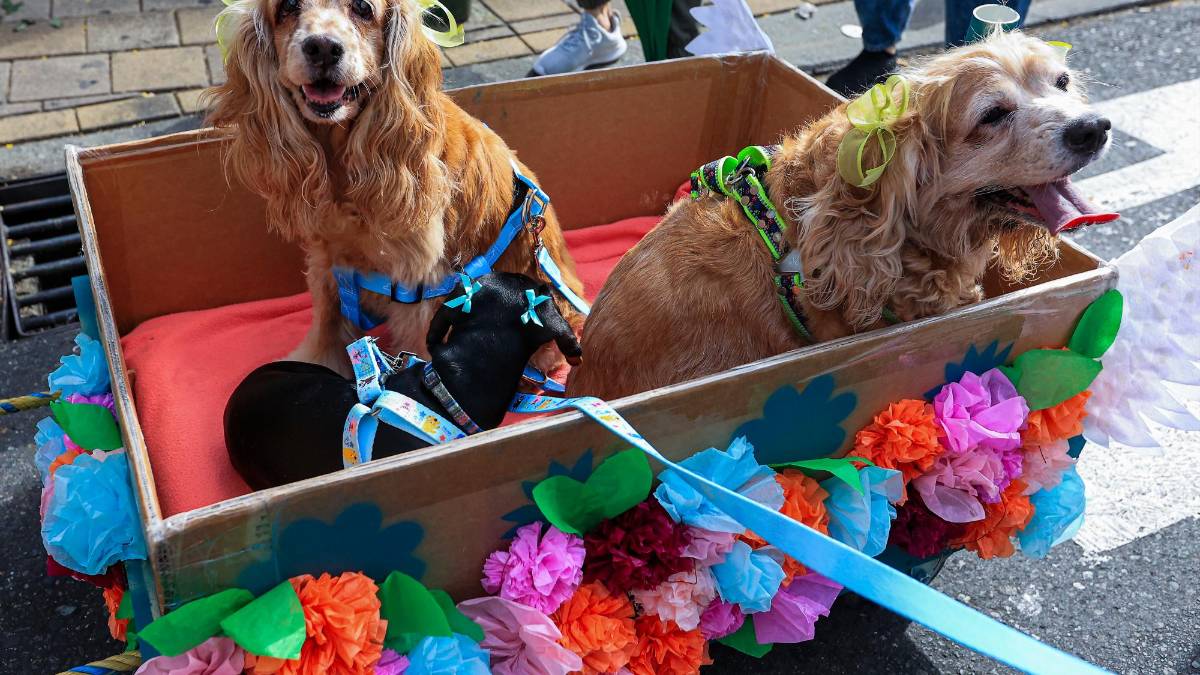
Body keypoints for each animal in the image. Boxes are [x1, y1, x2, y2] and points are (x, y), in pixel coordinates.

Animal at [206, 0, 584, 377]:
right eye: (287, 7)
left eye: (363, 8)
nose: (323, 48)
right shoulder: (328, 265)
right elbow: (325, 336)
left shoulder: (418, 285)